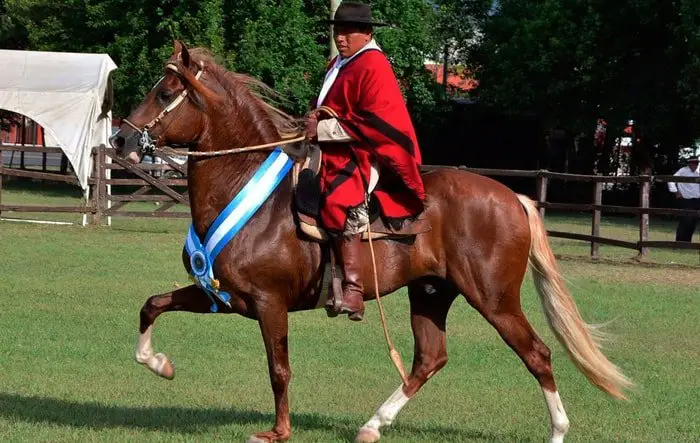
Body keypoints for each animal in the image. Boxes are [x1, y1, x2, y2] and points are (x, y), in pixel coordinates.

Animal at [112, 40, 632, 442]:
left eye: (164, 92)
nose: (120, 141)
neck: (246, 191)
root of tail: (513, 197)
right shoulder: (221, 295)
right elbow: (152, 304)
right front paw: (158, 363)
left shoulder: (268, 303)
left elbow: (279, 368)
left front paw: (278, 431)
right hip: (432, 293)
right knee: (429, 359)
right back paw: (373, 424)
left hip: (494, 298)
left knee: (537, 354)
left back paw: (557, 430)